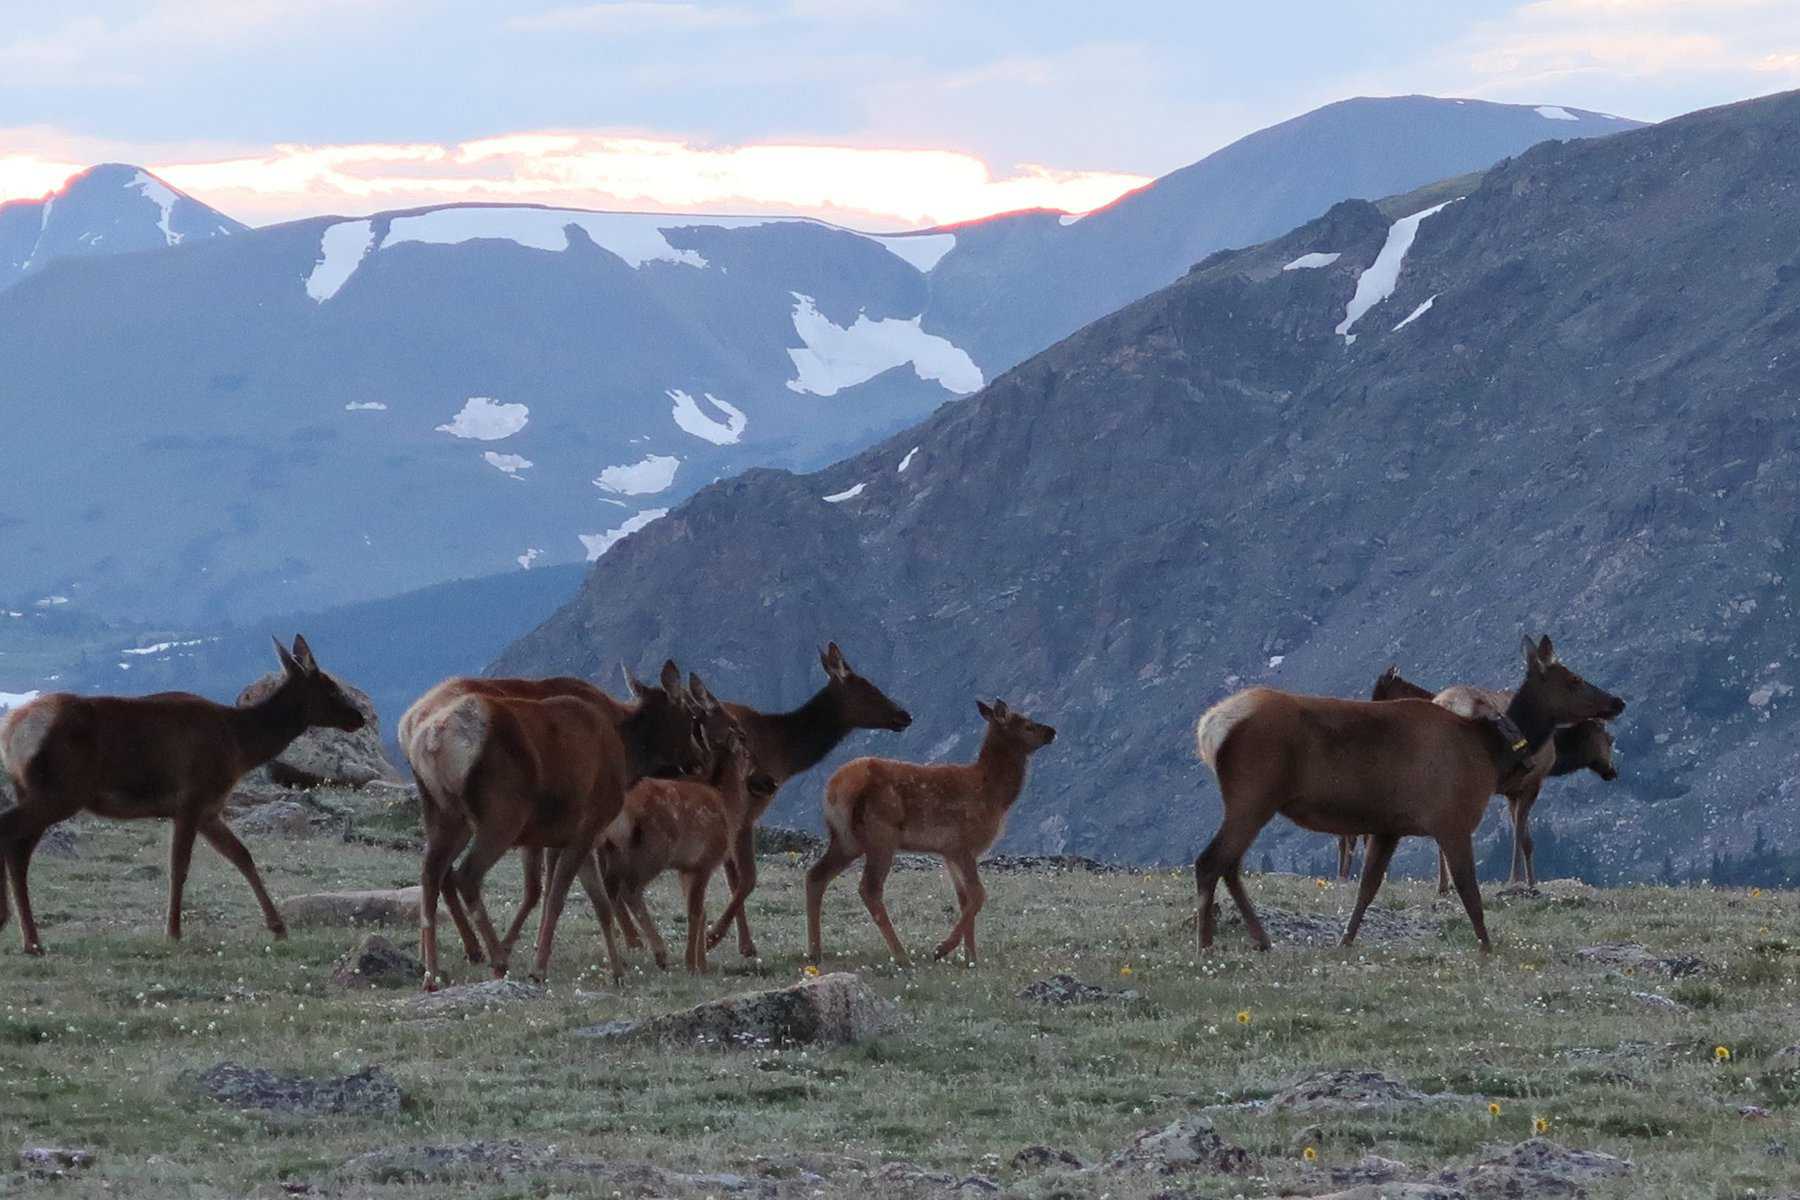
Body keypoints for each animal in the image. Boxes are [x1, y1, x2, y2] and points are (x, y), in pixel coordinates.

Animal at [0, 636, 365, 957]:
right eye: (330, 686)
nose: (359, 716)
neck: (240, 746)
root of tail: (13, 729)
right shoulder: (192, 798)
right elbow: (180, 865)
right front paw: (173, 931)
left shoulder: (209, 809)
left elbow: (242, 855)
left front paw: (278, 927)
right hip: (61, 790)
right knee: (9, 830)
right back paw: (21, 932)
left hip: (35, 790)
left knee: (19, 849)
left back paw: (23, 934)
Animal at [401, 662, 702, 993]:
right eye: (691, 716)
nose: (699, 760)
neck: (628, 759)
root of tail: (429, 739)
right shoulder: (585, 828)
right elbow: (557, 898)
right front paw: (539, 968)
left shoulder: (575, 836)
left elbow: (596, 901)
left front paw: (619, 971)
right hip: (502, 816)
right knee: (465, 875)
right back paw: (496, 958)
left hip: (444, 814)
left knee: (431, 874)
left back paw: (432, 972)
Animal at [694, 644, 907, 964]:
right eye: (868, 688)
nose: (904, 715)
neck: (785, 753)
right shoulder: (747, 809)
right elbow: (746, 878)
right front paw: (717, 938)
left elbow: (733, 877)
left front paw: (744, 945)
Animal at [806, 698, 1051, 971]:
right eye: (1028, 725)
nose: (1052, 732)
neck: (994, 795)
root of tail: (833, 788)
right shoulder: (962, 844)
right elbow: (978, 894)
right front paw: (942, 949)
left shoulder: (948, 852)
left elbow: (964, 899)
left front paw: (971, 958)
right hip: (881, 833)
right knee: (869, 888)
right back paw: (902, 956)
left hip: (846, 839)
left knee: (816, 875)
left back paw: (815, 952)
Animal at [1188, 636, 1627, 957]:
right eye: (1572, 679)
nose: (1617, 701)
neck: (1491, 750)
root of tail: (1210, 727)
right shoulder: (1453, 817)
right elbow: (1469, 890)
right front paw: (1487, 947)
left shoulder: (1388, 827)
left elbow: (1368, 888)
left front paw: (1345, 941)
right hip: (1253, 794)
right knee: (1210, 860)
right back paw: (1206, 944)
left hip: (1253, 801)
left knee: (1229, 863)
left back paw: (1260, 939)